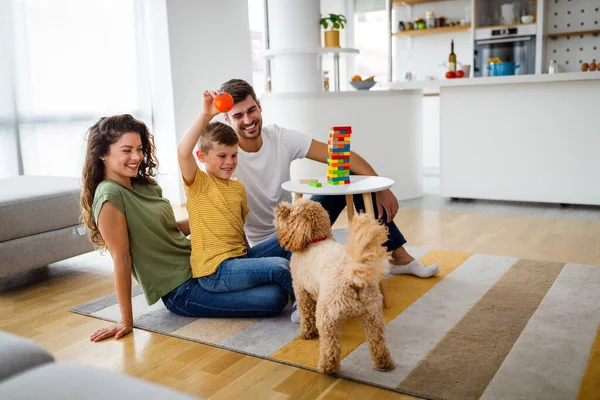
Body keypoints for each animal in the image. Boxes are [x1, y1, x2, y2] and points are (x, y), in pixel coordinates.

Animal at [274, 200, 396, 376]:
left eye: (290, 211)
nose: (279, 206)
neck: (316, 241)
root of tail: (353, 274)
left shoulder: (300, 289)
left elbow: (306, 315)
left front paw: (305, 333)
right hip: (373, 315)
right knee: (377, 341)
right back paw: (384, 364)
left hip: (326, 313)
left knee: (330, 345)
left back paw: (327, 367)